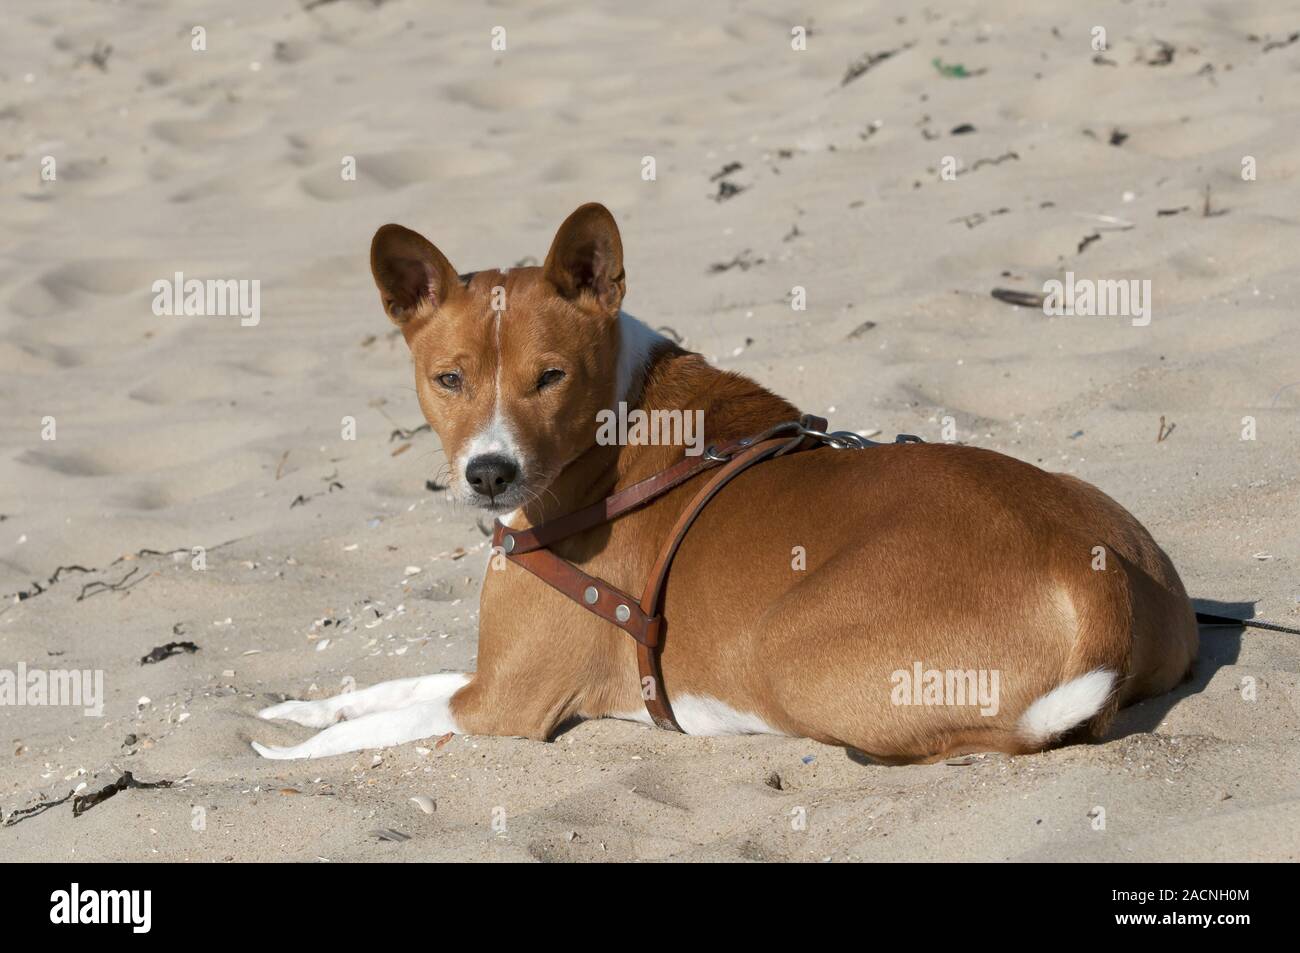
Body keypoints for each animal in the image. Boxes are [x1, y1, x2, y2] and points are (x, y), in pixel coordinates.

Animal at [250, 204, 1196, 764]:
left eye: (550, 376)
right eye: (449, 379)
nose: (490, 473)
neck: (613, 426)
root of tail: (1095, 580)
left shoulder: (501, 701)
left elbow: (393, 716)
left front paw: (283, 755)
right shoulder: (484, 674)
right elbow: (386, 688)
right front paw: (301, 711)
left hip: (791, 644)